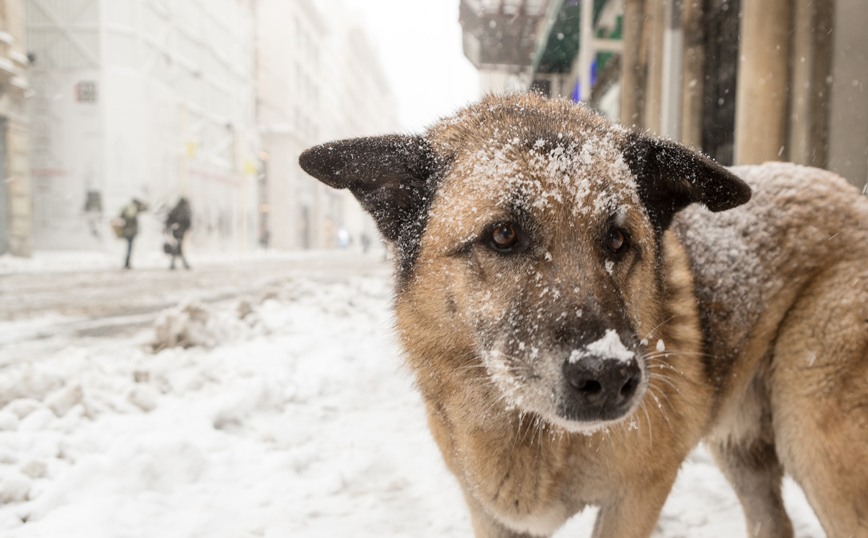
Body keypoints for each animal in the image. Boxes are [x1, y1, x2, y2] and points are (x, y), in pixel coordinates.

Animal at [300, 94, 868, 532]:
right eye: (502, 235)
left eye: (618, 240)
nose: (610, 375)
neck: (529, 430)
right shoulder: (491, 516)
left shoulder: (637, 497)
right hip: (743, 447)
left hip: (815, 445)